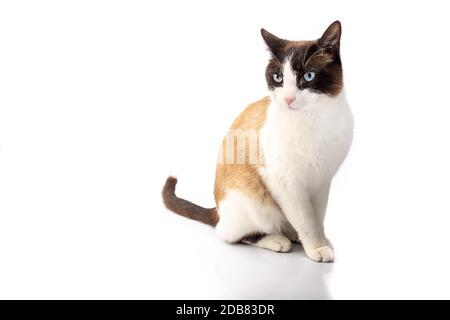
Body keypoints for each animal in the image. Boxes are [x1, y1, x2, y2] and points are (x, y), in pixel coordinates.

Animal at [163, 21, 354, 264]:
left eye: (308, 76)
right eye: (278, 78)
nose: (288, 99)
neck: (313, 120)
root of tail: (218, 209)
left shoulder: (322, 181)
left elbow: (317, 218)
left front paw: (320, 242)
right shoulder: (285, 183)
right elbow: (306, 221)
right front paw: (316, 248)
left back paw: (292, 234)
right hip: (252, 201)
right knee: (232, 234)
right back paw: (278, 240)